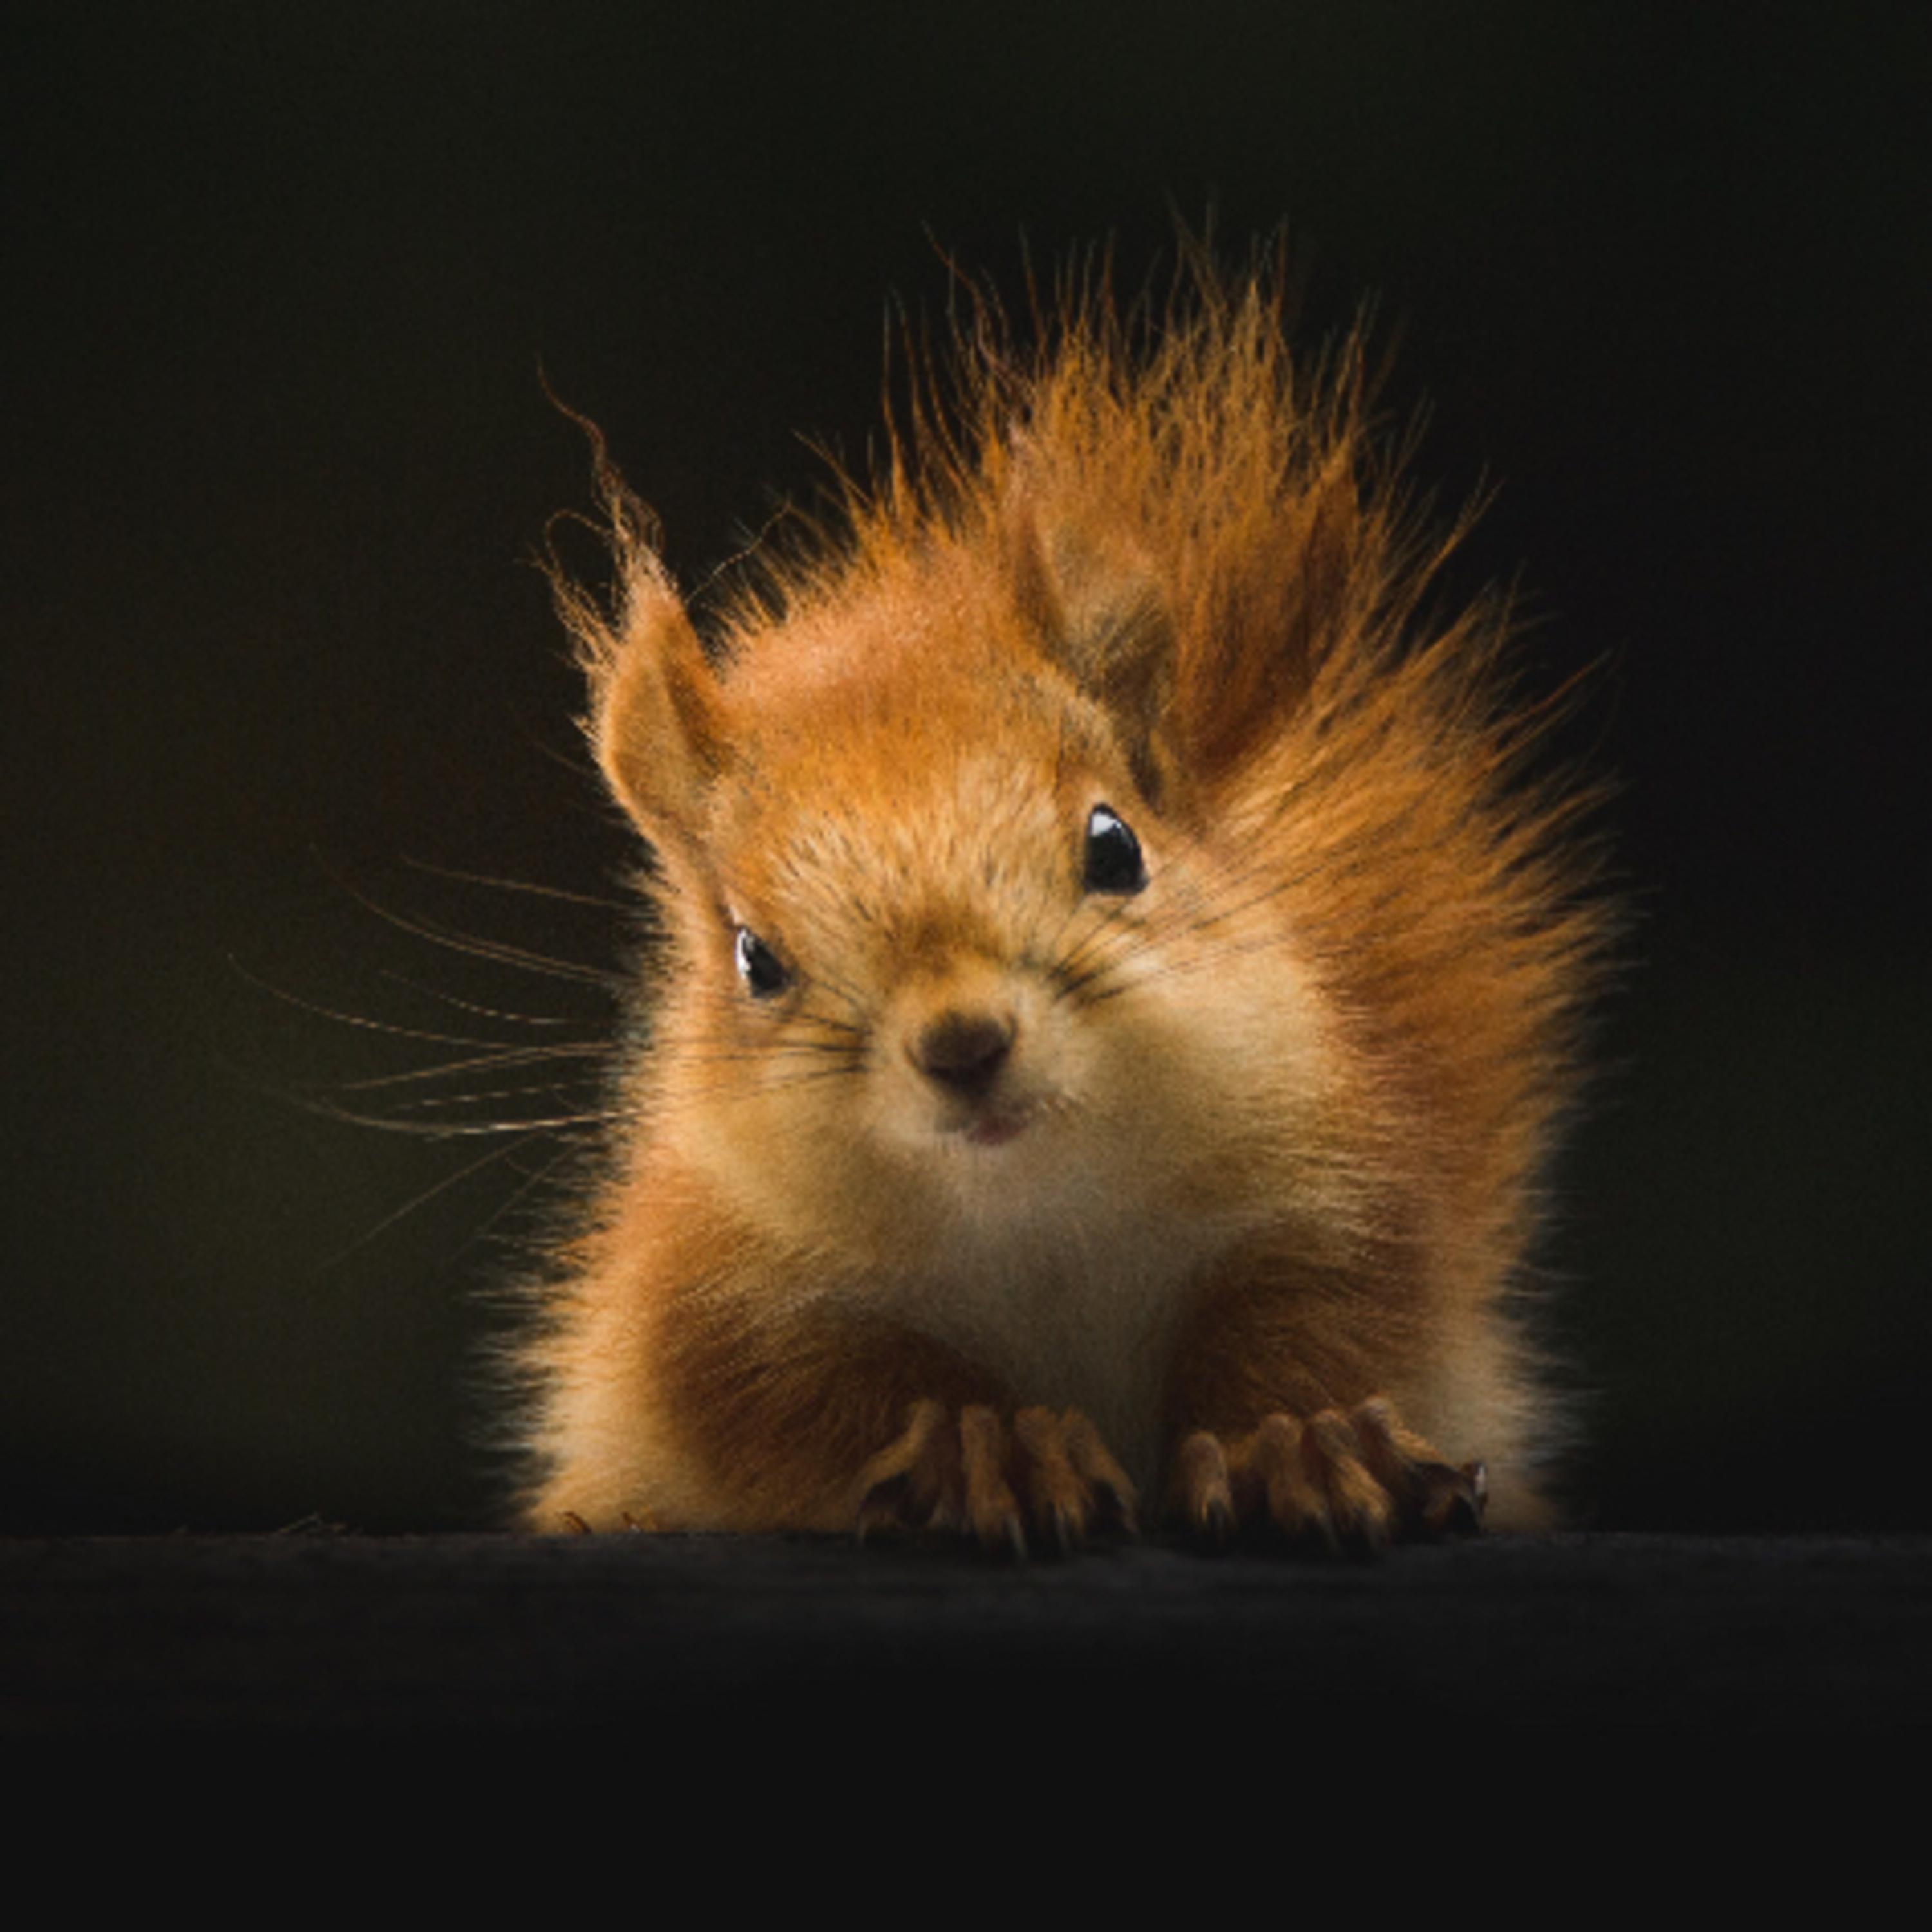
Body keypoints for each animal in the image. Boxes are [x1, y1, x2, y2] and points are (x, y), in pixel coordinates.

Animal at [513, 250, 1606, 1552]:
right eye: (753, 958)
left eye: (1115, 846)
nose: (963, 1043)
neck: (1035, 1215)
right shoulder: (715, 1293)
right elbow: (805, 1398)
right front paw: (987, 1450)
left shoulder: (1335, 1189)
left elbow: (1323, 1322)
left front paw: (1302, 1442)